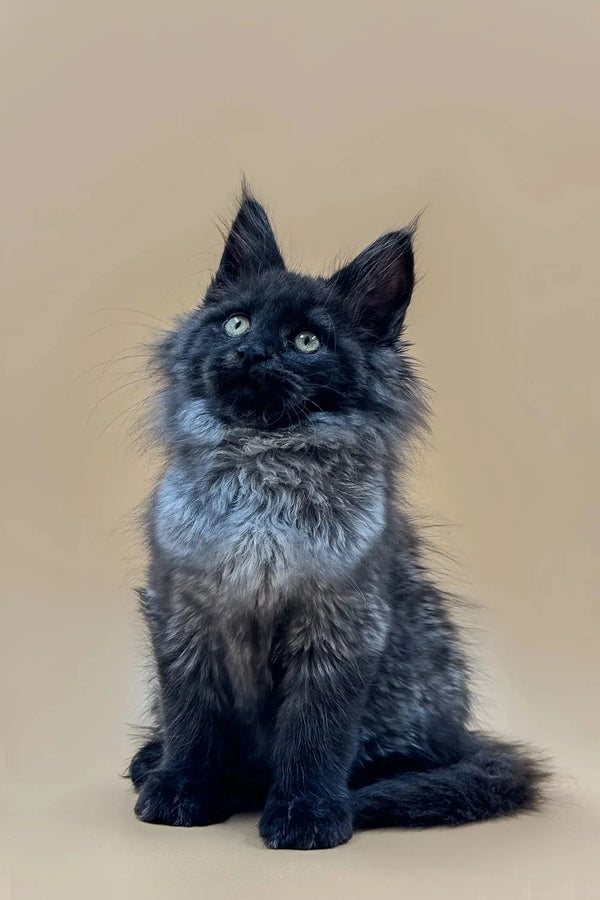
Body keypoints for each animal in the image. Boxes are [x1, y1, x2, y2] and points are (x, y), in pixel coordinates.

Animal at [127, 186, 548, 848]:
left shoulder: (339, 624)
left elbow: (315, 734)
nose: (249, 351)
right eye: (236, 322)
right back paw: (159, 763)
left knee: (411, 759)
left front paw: (307, 814)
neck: (263, 471)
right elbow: (191, 719)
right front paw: (180, 790)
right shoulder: (184, 611)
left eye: (307, 342)